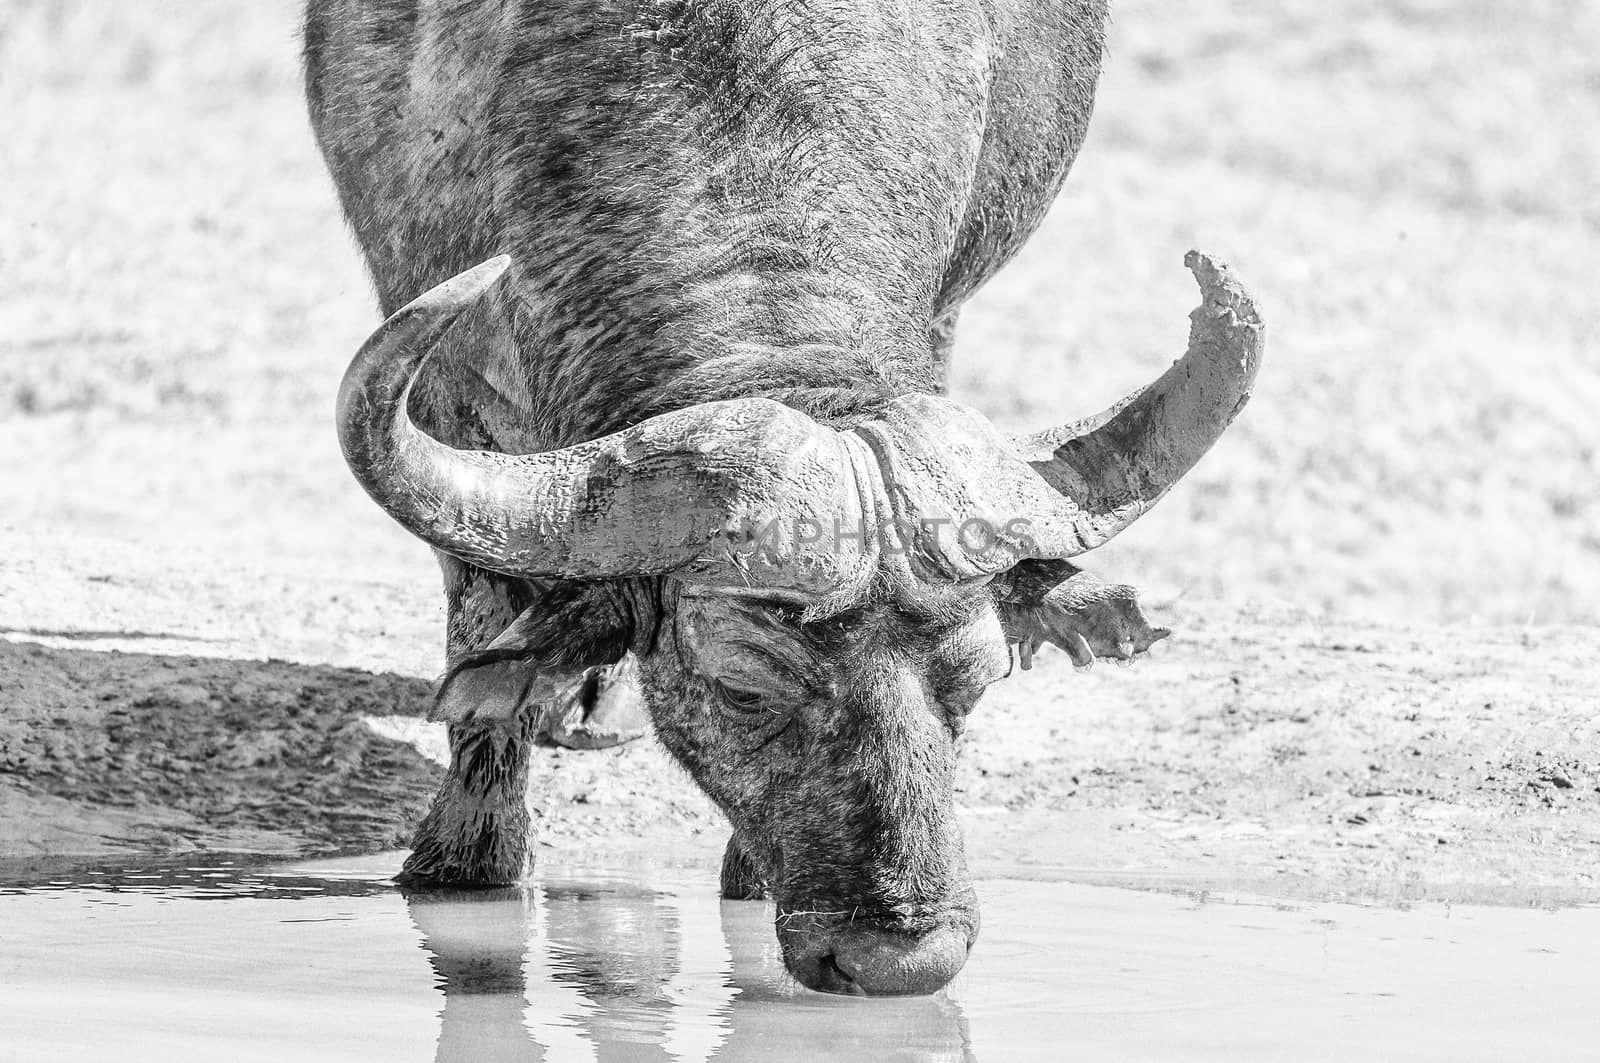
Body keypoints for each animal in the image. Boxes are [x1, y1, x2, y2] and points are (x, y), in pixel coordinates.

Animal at [308, 0, 1260, 998]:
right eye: (742, 690)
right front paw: (469, 855)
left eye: (974, 682)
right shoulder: (453, 400)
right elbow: (483, 628)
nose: (901, 958)